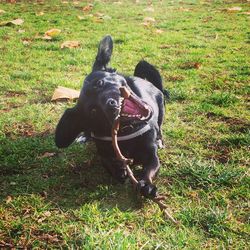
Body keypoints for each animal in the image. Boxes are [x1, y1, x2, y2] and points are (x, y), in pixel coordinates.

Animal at [55, 35, 165, 199]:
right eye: (93, 111)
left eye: (100, 83)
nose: (111, 104)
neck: (126, 131)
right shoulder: (103, 153)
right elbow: (107, 162)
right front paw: (119, 170)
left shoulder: (152, 156)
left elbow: (150, 169)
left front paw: (147, 184)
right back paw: (84, 136)